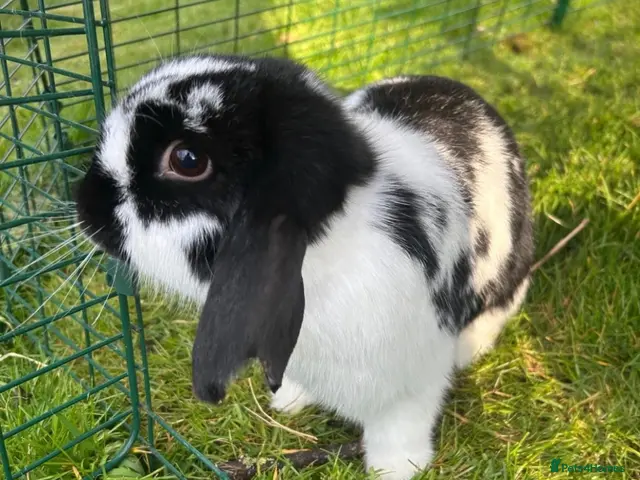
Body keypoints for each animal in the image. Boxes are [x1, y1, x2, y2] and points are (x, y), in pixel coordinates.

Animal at [75, 53, 534, 479]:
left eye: (187, 159)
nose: (84, 204)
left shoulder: (413, 379)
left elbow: (399, 427)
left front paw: (397, 469)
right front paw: (287, 401)